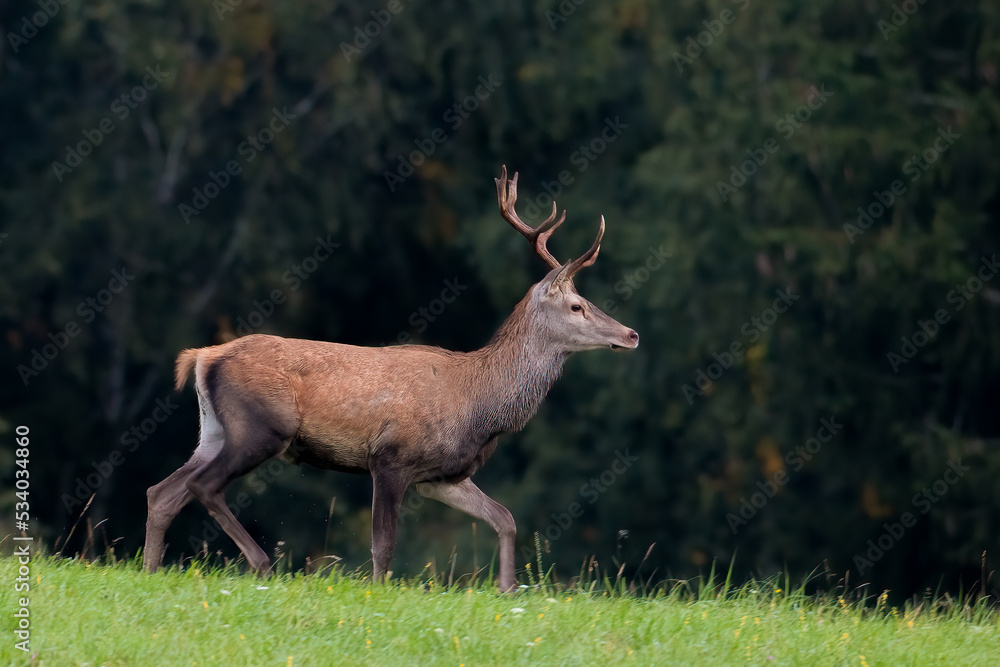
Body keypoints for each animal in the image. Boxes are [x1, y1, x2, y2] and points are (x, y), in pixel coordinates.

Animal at [142, 166, 639, 591]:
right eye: (577, 305)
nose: (631, 334)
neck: (479, 405)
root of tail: (203, 357)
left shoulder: (442, 475)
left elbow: (505, 517)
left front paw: (507, 588)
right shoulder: (390, 457)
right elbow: (383, 546)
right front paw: (380, 593)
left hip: (214, 430)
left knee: (161, 491)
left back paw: (150, 570)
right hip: (262, 427)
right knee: (201, 485)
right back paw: (261, 563)